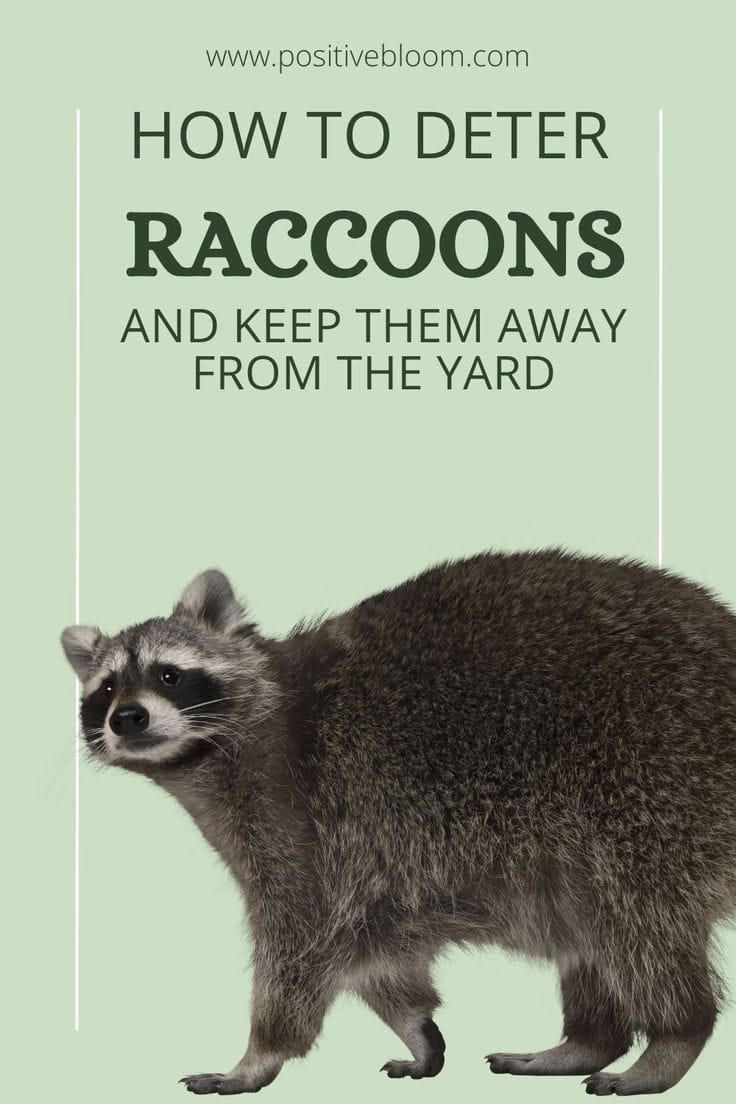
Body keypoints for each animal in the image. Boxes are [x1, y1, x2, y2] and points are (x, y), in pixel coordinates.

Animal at [61, 552, 736, 1096]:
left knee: (637, 920)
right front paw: (415, 1027)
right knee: (589, 928)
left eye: (168, 674)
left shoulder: (303, 819)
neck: (209, 758)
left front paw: (259, 1055)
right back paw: (589, 1040)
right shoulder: (367, 862)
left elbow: (304, 940)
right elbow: (377, 950)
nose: (127, 718)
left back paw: (673, 1035)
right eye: (107, 688)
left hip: (653, 789)